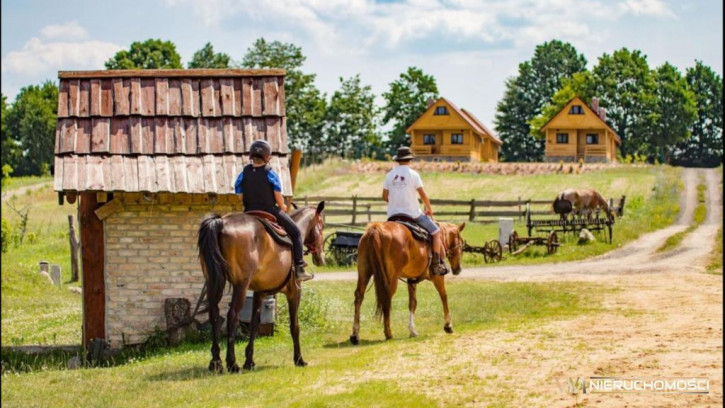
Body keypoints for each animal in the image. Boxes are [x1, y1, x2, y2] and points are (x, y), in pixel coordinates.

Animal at [195, 202, 326, 372]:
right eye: (322, 226)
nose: (321, 258)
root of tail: (221, 222)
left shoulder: (260, 292)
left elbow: (255, 323)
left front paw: (249, 361)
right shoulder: (294, 291)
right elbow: (295, 325)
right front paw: (299, 359)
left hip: (213, 282)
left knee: (214, 314)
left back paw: (216, 362)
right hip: (241, 285)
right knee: (232, 315)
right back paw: (232, 363)